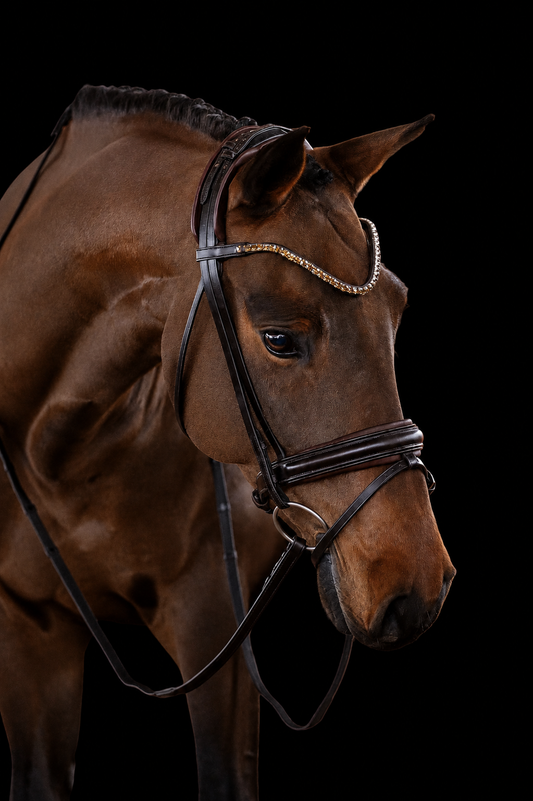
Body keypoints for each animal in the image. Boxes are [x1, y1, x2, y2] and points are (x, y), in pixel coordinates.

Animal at [0, 84, 455, 800]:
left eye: (398, 309)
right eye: (279, 339)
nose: (417, 586)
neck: (63, 458)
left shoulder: (215, 625)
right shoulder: (29, 635)